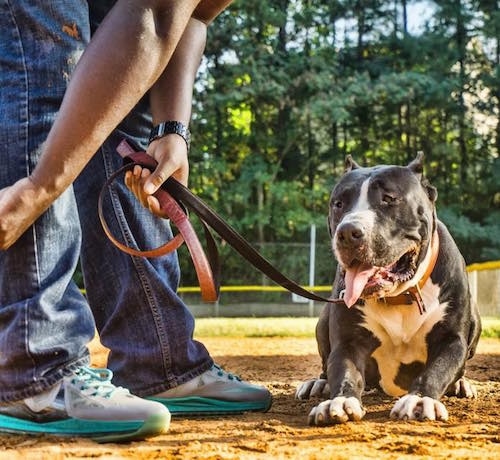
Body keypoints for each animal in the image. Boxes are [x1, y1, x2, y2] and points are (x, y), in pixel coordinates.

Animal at [296, 154, 480, 424]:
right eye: (338, 204)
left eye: (389, 199)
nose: (348, 232)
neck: (399, 296)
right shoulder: (348, 340)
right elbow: (344, 370)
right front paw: (339, 401)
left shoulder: (452, 339)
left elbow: (437, 369)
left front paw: (420, 399)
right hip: (323, 321)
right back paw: (319, 384)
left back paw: (460, 384)